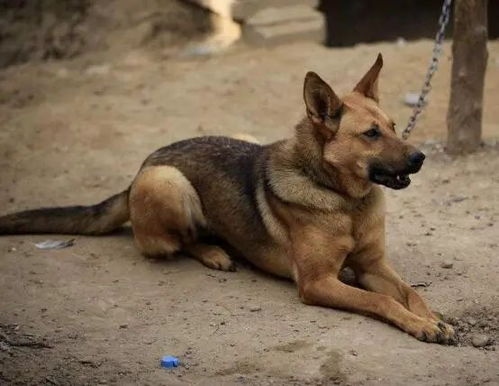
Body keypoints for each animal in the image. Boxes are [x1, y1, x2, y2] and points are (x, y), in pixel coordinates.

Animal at [0, 53, 458, 344]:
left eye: (395, 126)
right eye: (371, 134)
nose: (420, 157)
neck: (343, 200)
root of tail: (142, 168)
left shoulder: (372, 265)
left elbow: (410, 292)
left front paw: (432, 319)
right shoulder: (318, 283)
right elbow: (380, 299)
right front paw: (420, 324)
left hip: (238, 140)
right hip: (168, 183)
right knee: (176, 241)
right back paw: (215, 252)